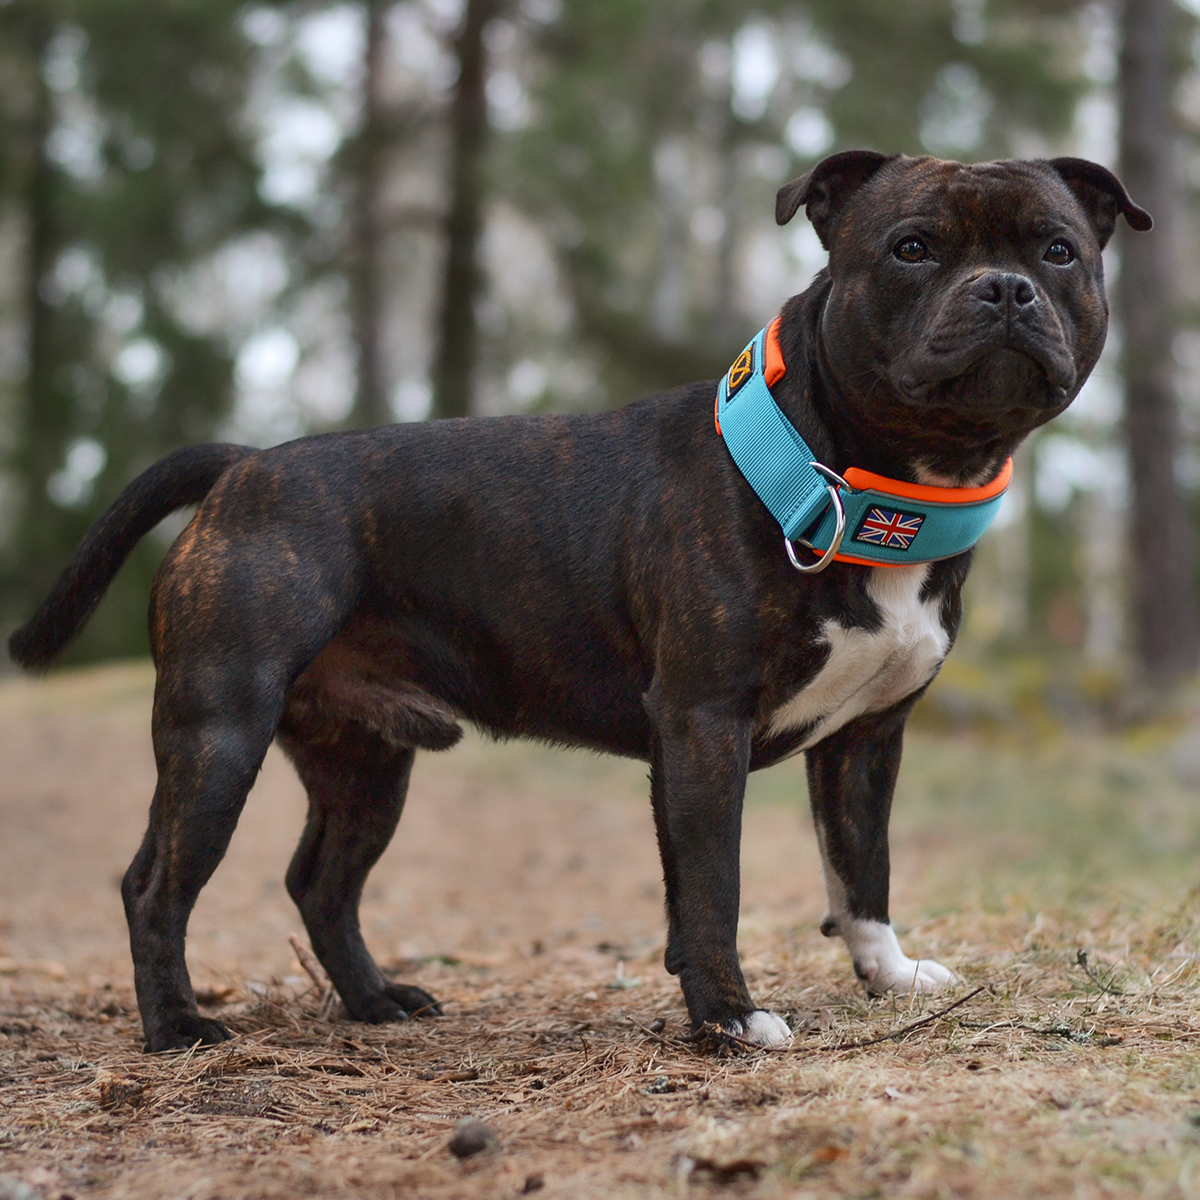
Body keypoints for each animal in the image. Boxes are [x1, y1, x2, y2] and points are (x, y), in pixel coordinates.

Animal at [11, 150, 1152, 1051]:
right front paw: (728, 1018)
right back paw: (178, 1027)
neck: (865, 478)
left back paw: (376, 1003)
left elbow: (859, 865)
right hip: (219, 730)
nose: (1004, 289)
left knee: (321, 883)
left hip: (363, 761)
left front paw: (885, 974)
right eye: (913, 247)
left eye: (1058, 251)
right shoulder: (702, 727)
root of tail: (243, 465)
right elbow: (714, 885)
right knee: (155, 883)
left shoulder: (868, 738)